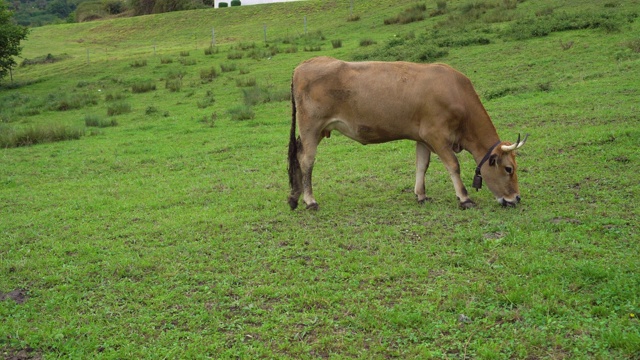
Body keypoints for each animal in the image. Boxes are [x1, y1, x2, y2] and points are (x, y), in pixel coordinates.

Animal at [288, 57, 528, 211]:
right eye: (509, 169)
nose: (516, 198)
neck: (456, 94)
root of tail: (305, 63)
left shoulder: (423, 138)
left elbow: (422, 165)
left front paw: (421, 195)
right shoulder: (436, 136)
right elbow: (453, 165)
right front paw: (464, 198)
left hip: (319, 130)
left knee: (298, 156)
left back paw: (294, 197)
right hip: (311, 127)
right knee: (306, 160)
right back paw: (310, 201)